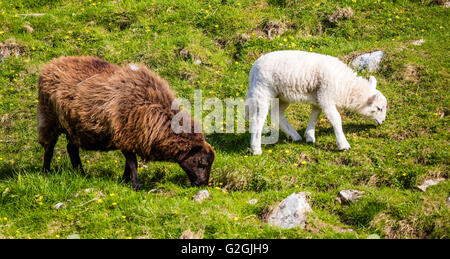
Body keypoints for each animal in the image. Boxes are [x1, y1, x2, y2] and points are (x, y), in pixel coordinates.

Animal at [37, 57, 216, 191]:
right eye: (201, 163)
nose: (202, 185)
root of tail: (50, 64)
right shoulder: (125, 135)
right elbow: (133, 163)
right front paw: (135, 185)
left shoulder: (132, 139)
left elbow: (127, 164)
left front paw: (124, 181)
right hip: (49, 119)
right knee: (49, 148)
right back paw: (46, 172)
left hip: (73, 127)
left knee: (71, 149)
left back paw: (81, 174)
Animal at [246, 51, 386, 156]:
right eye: (379, 108)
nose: (383, 121)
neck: (345, 87)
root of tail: (253, 69)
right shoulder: (326, 95)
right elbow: (336, 119)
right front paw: (343, 144)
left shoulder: (318, 97)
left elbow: (314, 116)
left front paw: (309, 136)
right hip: (263, 90)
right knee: (257, 119)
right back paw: (256, 149)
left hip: (282, 95)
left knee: (277, 114)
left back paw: (294, 136)